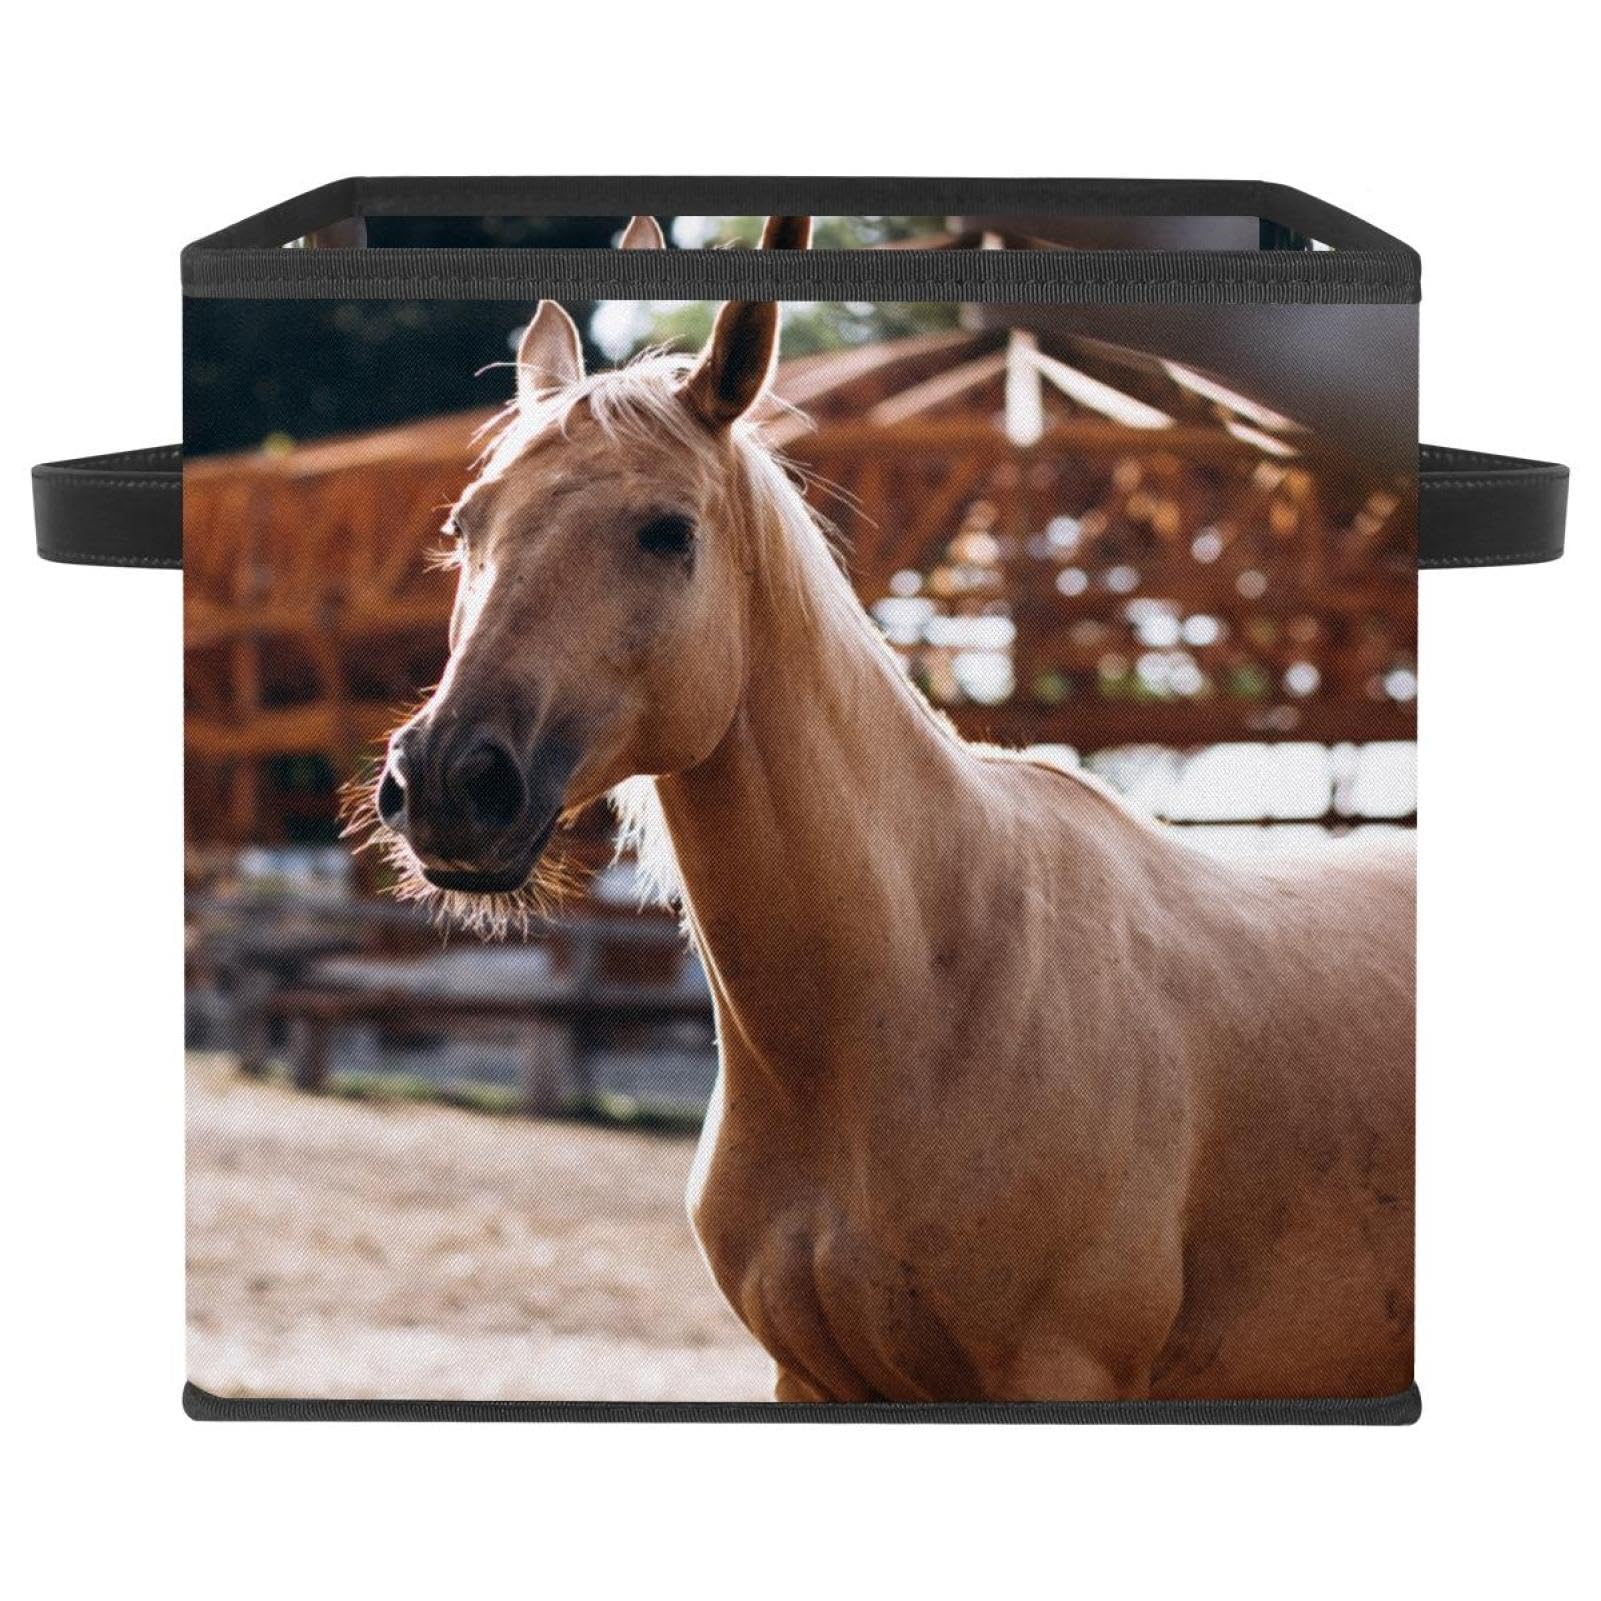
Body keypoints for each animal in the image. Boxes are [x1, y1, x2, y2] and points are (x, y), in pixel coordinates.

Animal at [369, 216, 1415, 1403]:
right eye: (466, 523)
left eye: (667, 531)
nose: (447, 782)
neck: (919, 989)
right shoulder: (809, 1377)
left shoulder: (1059, 1372)